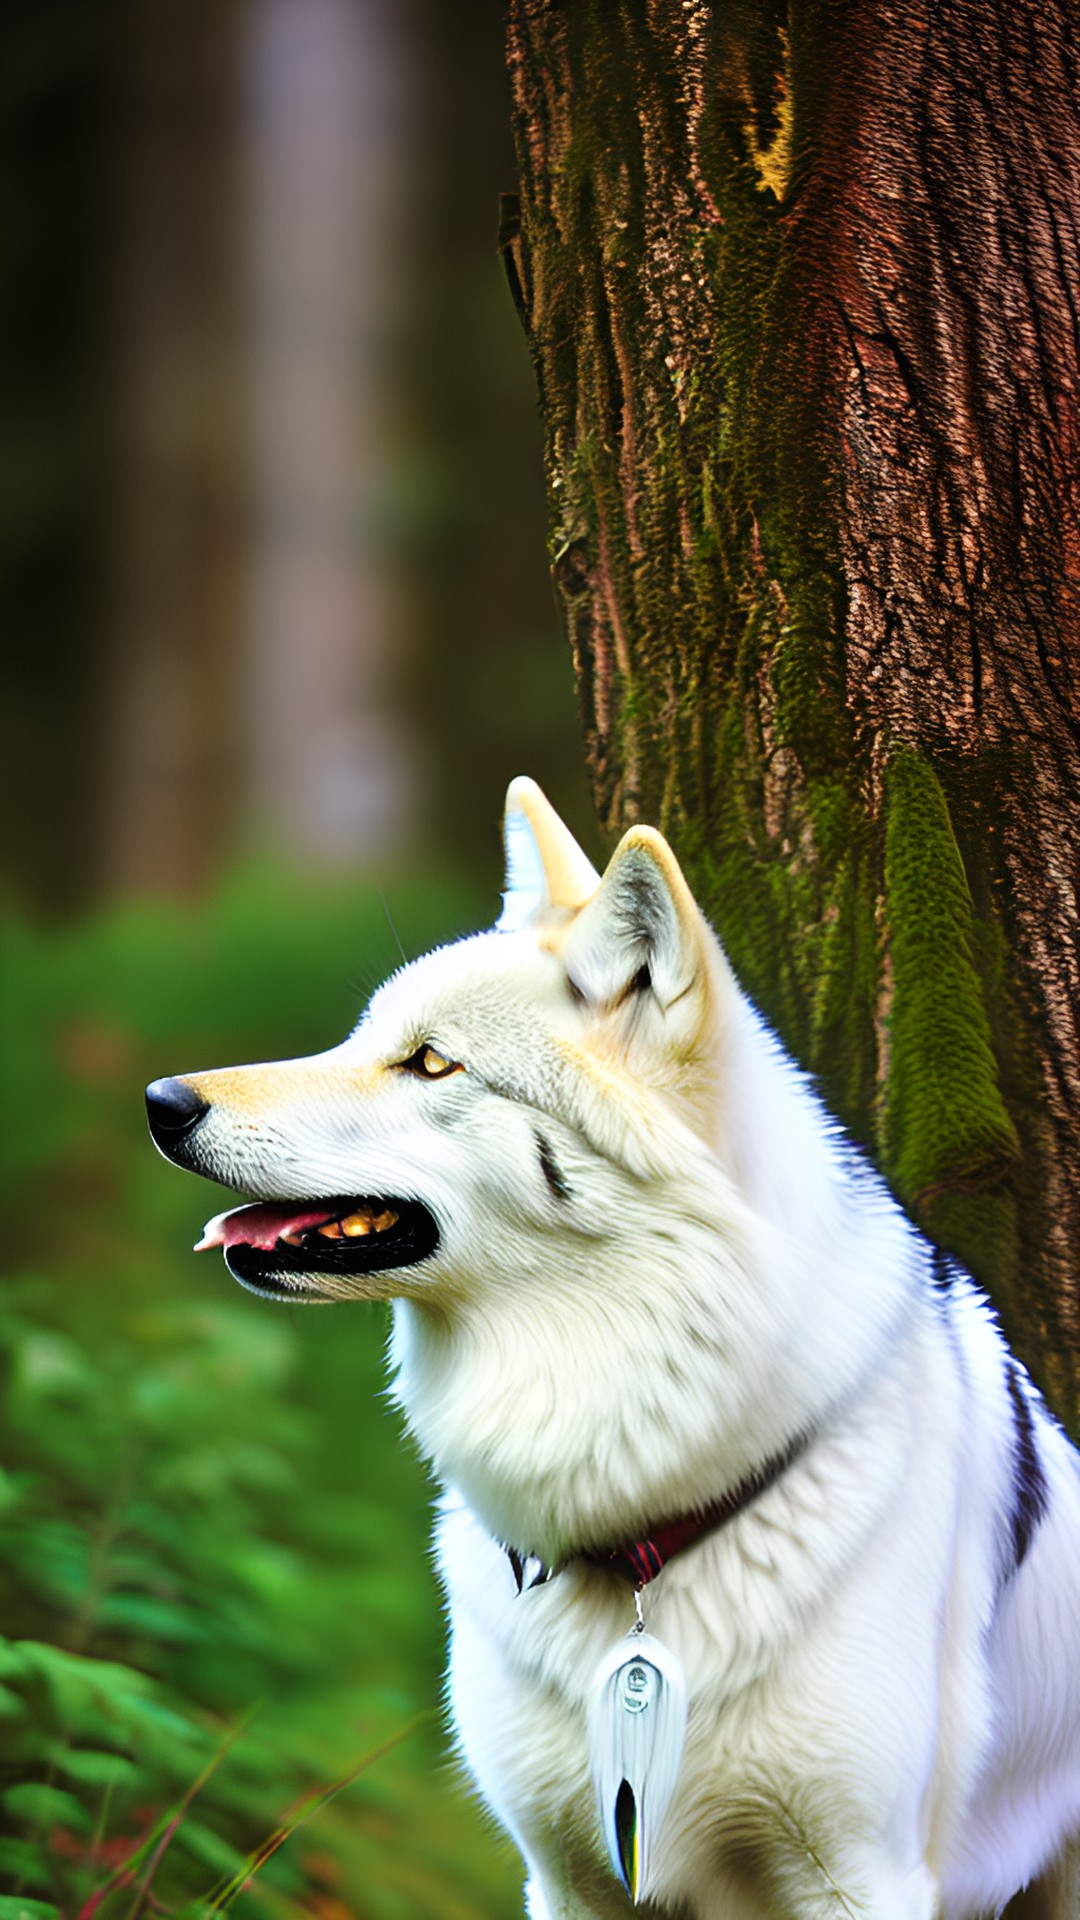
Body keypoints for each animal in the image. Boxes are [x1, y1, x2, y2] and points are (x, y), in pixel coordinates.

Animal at [145, 775, 1076, 1920]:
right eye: (362, 1039)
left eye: (431, 1062)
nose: (161, 1103)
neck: (637, 1521)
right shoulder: (564, 1872)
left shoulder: (862, 1877)